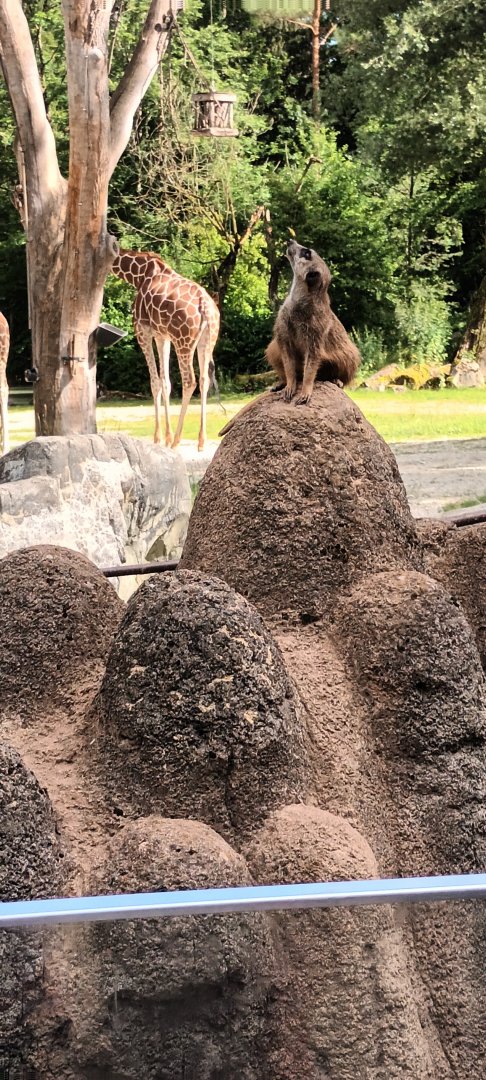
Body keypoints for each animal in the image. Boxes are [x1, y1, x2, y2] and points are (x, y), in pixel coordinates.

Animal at [111, 251, 220, 451]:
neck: (137, 275)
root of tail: (206, 309)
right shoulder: (162, 335)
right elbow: (166, 382)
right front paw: (166, 437)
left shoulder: (143, 330)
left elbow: (155, 382)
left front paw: (159, 437)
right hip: (207, 340)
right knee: (204, 380)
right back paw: (201, 440)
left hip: (183, 340)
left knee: (189, 381)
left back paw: (177, 439)